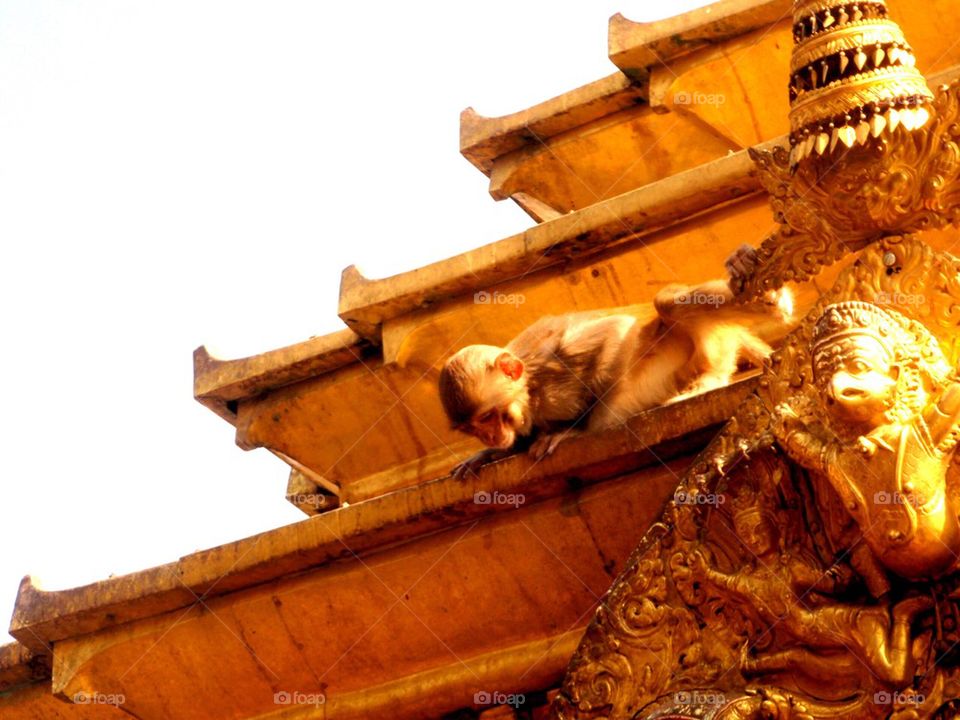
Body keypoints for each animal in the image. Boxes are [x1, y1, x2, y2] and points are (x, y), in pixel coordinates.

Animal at [439, 245, 794, 479]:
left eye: (487, 418)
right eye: (473, 428)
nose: (489, 438)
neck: (531, 393)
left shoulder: (555, 369)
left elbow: (616, 331)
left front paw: (573, 431)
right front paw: (485, 454)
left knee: (666, 305)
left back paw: (771, 302)